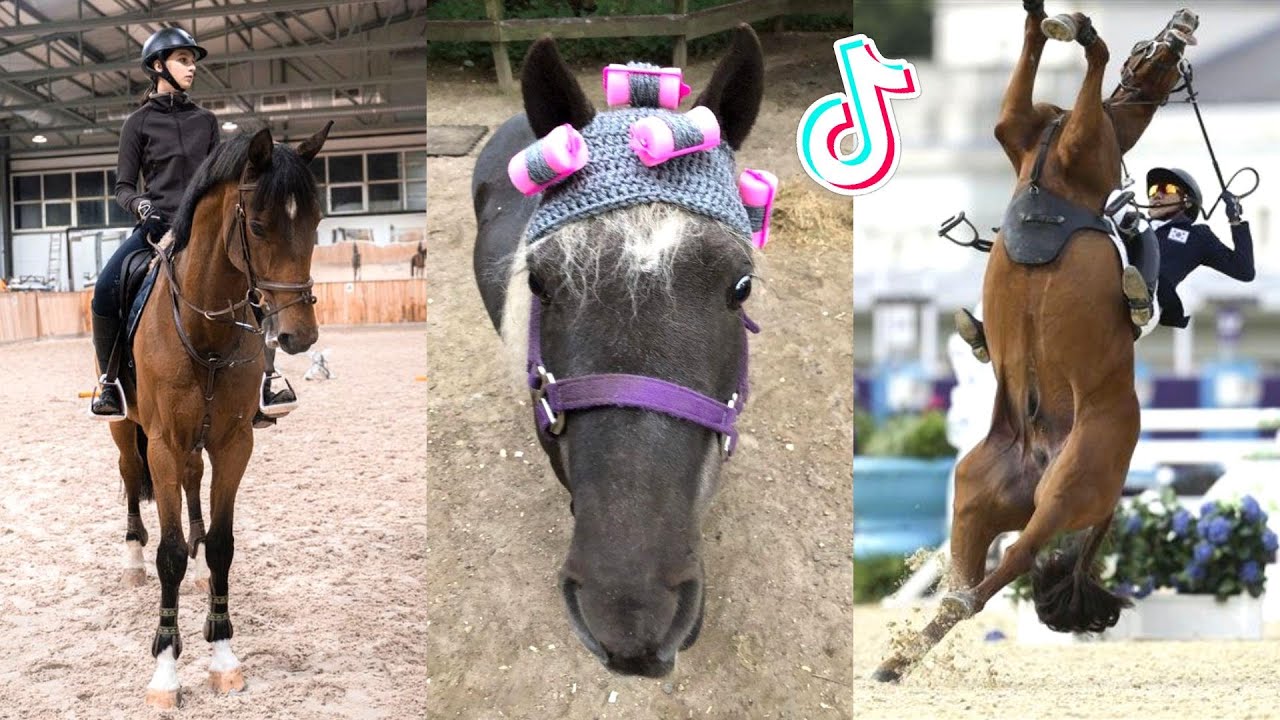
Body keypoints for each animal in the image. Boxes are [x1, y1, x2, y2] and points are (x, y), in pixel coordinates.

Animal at [108, 122, 331, 708]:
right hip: (123, 426)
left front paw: (224, 655)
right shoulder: (162, 445)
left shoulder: (234, 444)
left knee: (192, 483)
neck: (205, 334)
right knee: (129, 476)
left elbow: (224, 548)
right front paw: (165, 671)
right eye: (257, 225)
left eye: (317, 222)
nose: (300, 336)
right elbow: (168, 554)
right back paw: (132, 560)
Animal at [872, 4, 1198, 682]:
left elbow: (1091, 69)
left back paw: (915, 645)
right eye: (1156, 42)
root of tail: (1043, 456)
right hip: (977, 494)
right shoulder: (1017, 124)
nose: (1185, 19)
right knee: (972, 575)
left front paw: (1076, 29)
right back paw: (900, 657)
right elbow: (1026, 71)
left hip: (1065, 493)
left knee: (1012, 565)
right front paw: (1043, 18)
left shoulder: (1082, 144)